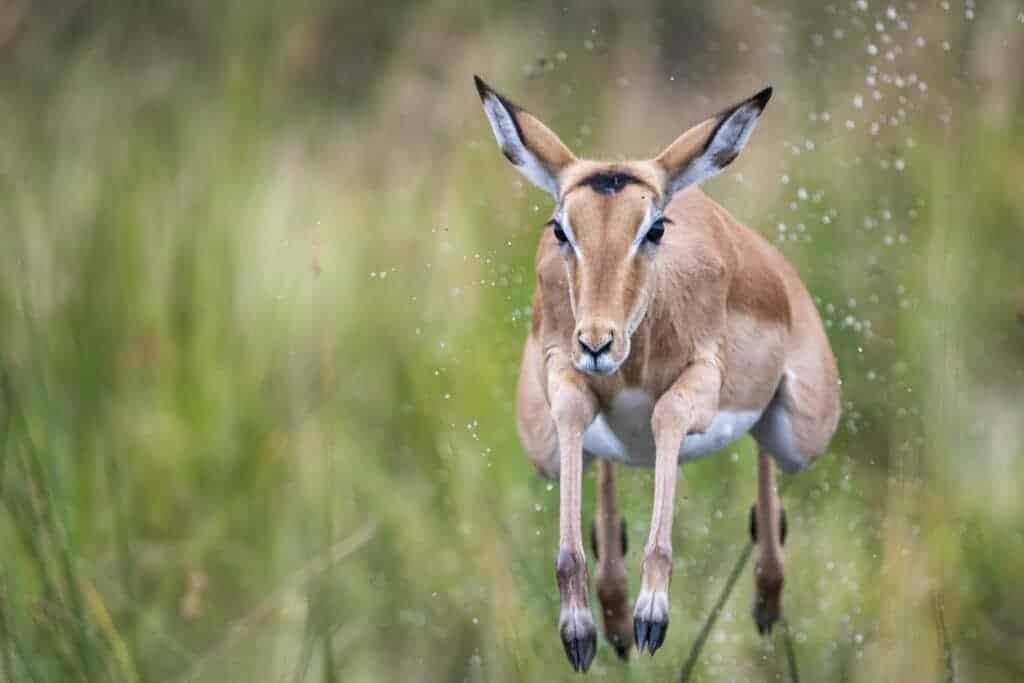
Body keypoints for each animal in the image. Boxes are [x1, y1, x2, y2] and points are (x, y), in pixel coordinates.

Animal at [471, 77, 839, 671]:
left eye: (654, 227)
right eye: (561, 228)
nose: (597, 342)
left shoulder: (703, 383)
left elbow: (667, 415)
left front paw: (654, 615)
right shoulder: (561, 372)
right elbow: (575, 415)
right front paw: (581, 629)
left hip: (801, 438)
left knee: (764, 447)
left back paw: (765, 600)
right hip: (545, 449)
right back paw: (618, 617)